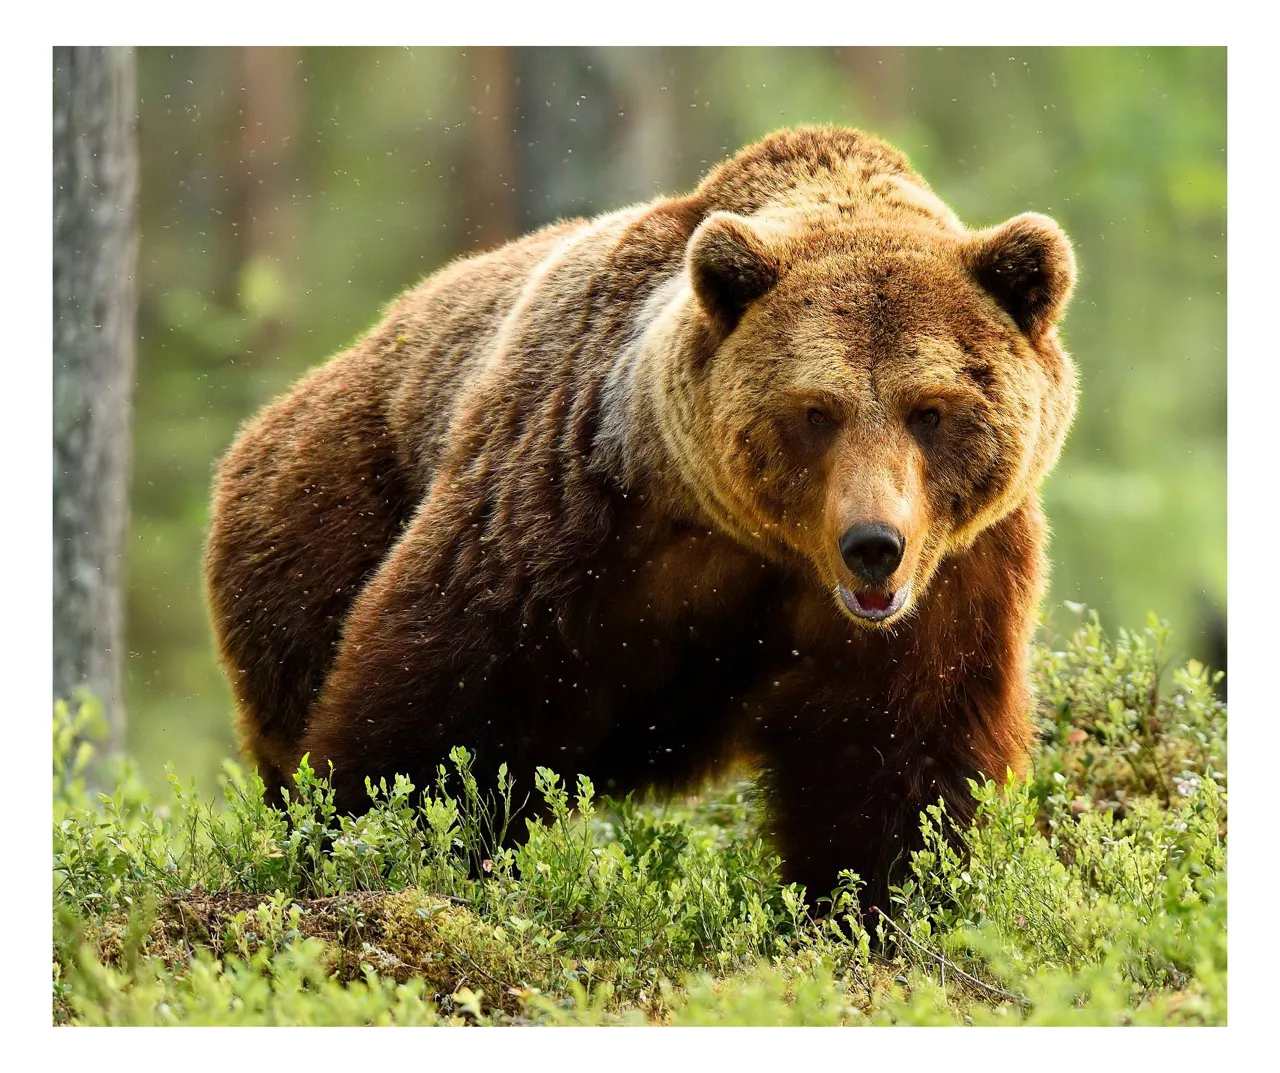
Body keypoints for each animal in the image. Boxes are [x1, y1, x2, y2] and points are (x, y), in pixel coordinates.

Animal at [204, 125, 1077, 912]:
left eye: (930, 409)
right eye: (815, 411)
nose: (874, 546)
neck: (749, 539)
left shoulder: (951, 581)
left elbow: (897, 758)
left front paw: (876, 900)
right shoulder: (567, 504)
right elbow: (443, 704)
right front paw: (382, 837)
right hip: (324, 510)